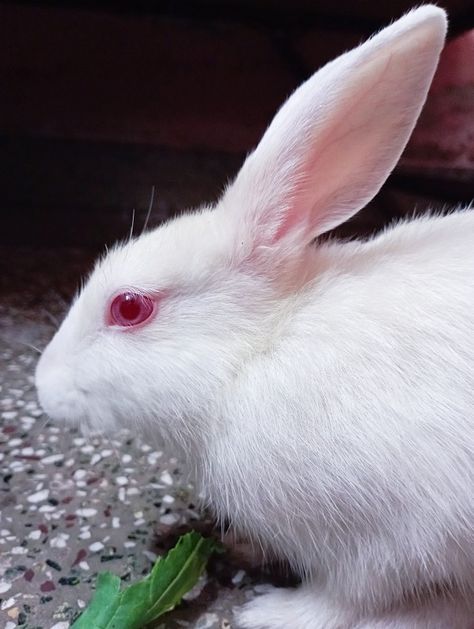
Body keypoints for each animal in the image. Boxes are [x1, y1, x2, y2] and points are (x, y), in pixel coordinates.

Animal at [36, 6, 474, 628]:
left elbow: (347, 594)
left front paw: (270, 612)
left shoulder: (394, 535)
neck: (255, 353)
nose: (42, 387)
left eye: (129, 307)